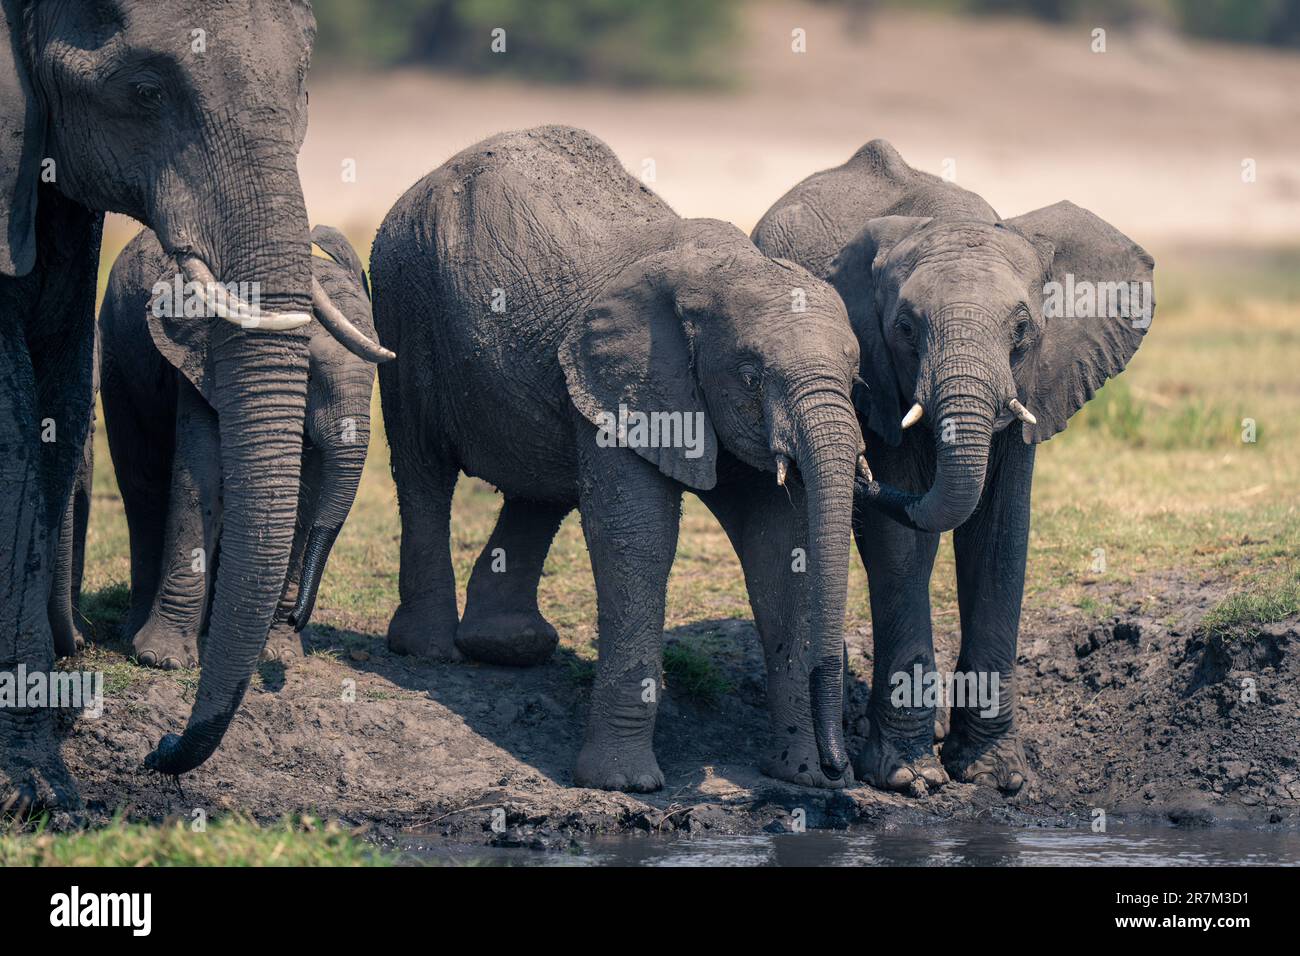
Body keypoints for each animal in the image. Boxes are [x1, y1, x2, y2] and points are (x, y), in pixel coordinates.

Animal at [86, 224, 383, 670]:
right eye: (309, 374)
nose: (296, 618)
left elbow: (307, 493)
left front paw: (279, 653)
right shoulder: (201, 358)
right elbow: (201, 479)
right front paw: (164, 660)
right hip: (118, 358)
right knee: (143, 487)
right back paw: (135, 634)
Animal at [371, 126, 868, 792]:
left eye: (856, 375)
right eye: (751, 375)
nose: (844, 767)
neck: (722, 269)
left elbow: (778, 545)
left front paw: (803, 776)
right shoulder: (632, 383)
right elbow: (639, 537)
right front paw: (623, 784)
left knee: (538, 491)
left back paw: (509, 647)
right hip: (403, 300)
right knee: (422, 466)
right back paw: (429, 650)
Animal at [753, 139, 1154, 795]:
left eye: (1023, 330)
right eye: (905, 328)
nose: (862, 476)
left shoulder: (1034, 384)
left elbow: (999, 537)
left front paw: (994, 774)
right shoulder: (880, 379)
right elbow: (901, 548)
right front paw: (908, 776)